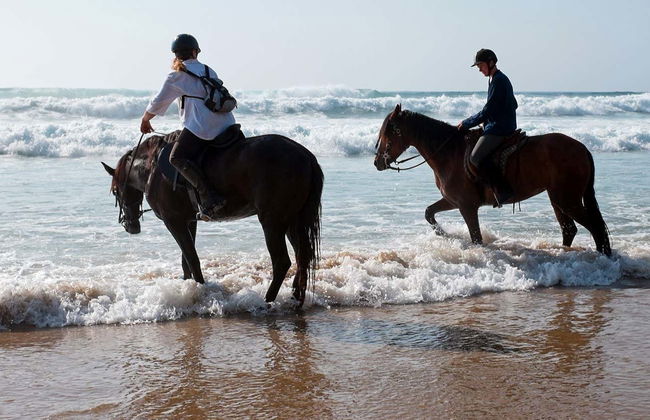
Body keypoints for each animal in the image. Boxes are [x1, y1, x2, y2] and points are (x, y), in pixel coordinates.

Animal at [102, 130, 323, 306]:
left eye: (115, 191)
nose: (129, 225)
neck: (152, 168)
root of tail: (306, 156)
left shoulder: (173, 221)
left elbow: (192, 258)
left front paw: (200, 289)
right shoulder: (188, 221)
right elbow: (186, 259)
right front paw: (188, 287)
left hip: (272, 221)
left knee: (282, 261)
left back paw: (267, 301)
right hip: (293, 220)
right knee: (302, 255)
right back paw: (296, 297)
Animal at [373, 104, 611, 256]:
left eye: (388, 131)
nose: (377, 162)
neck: (449, 153)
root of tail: (581, 148)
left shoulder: (467, 206)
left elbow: (476, 238)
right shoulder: (452, 201)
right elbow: (429, 212)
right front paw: (445, 235)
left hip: (567, 200)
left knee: (596, 228)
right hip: (557, 200)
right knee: (570, 229)